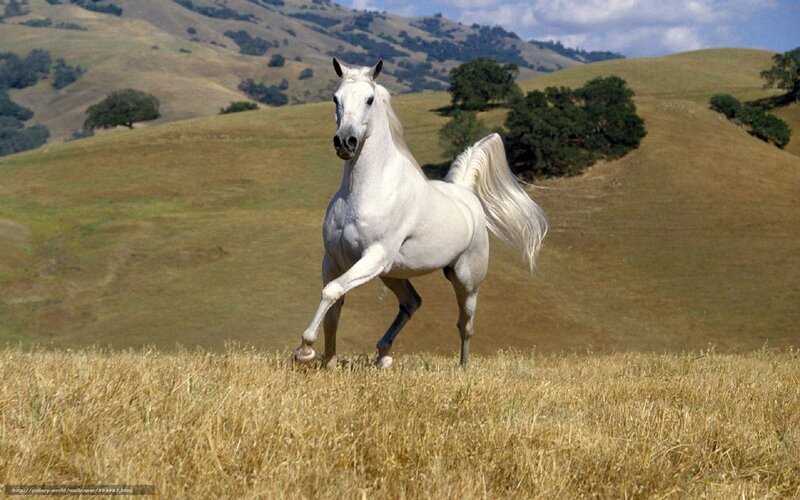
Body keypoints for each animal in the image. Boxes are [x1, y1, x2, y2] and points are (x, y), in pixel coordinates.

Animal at [293, 58, 548, 369]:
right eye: (335, 98)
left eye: (369, 99)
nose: (345, 142)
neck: (363, 191)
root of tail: (465, 194)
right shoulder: (334, 260)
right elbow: (333, 307)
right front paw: (327, 364)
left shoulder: (374, 256)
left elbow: (331, 292)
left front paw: (305, 350)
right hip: (392, 273)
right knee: (412, 302)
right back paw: (383, 355)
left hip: (465, 280)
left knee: (465, 325)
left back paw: (462, 369)